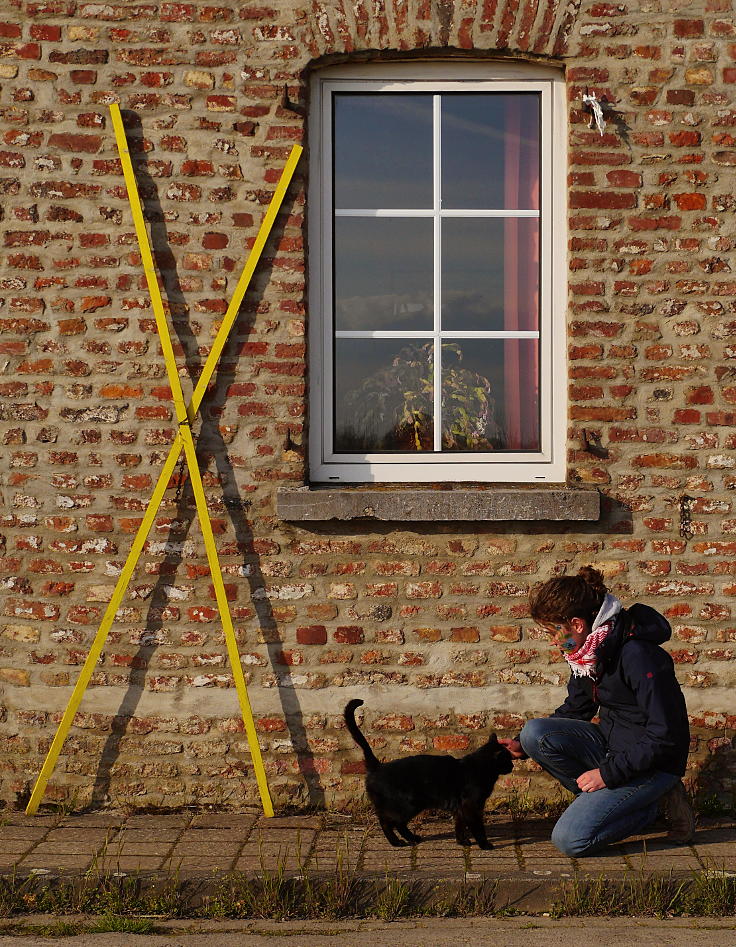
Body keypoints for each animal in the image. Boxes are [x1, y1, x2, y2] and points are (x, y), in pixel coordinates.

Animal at [344, 700, 512, 848]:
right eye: (508, 759)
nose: (512, 765)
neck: (480, 767)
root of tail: (378, 766)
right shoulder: (471, 806)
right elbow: (478, 828)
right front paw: (485, 844)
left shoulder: (460, 808)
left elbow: (459, 825)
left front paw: (462, 842)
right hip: (408, 805)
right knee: (389, 822)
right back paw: (398, 842)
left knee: (394, 822)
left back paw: (410, 838)